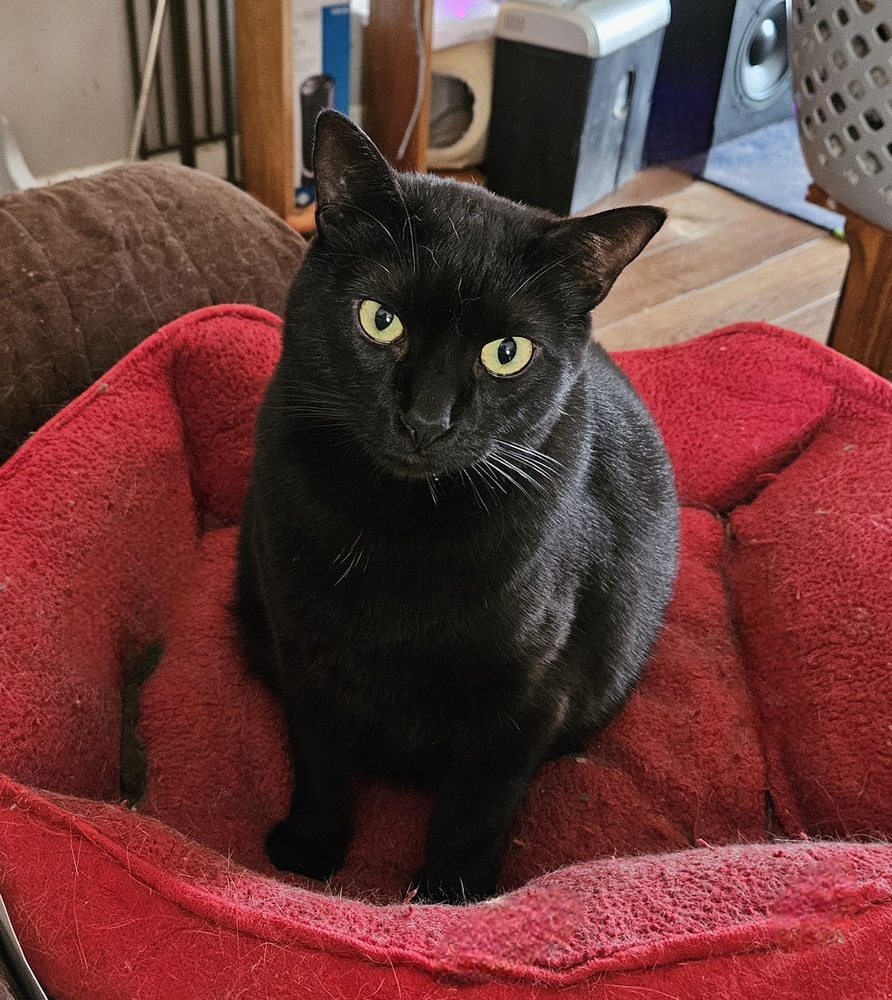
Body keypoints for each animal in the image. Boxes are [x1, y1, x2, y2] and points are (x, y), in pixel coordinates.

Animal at [233, 111, 680, 908]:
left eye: (508, 353)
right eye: (380, 320)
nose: (427, 419)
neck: (400, 527)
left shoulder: (530, 692)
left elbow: (476, 804)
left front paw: (451, 901)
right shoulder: (303, 652)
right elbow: (318, 756)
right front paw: (310, 849)